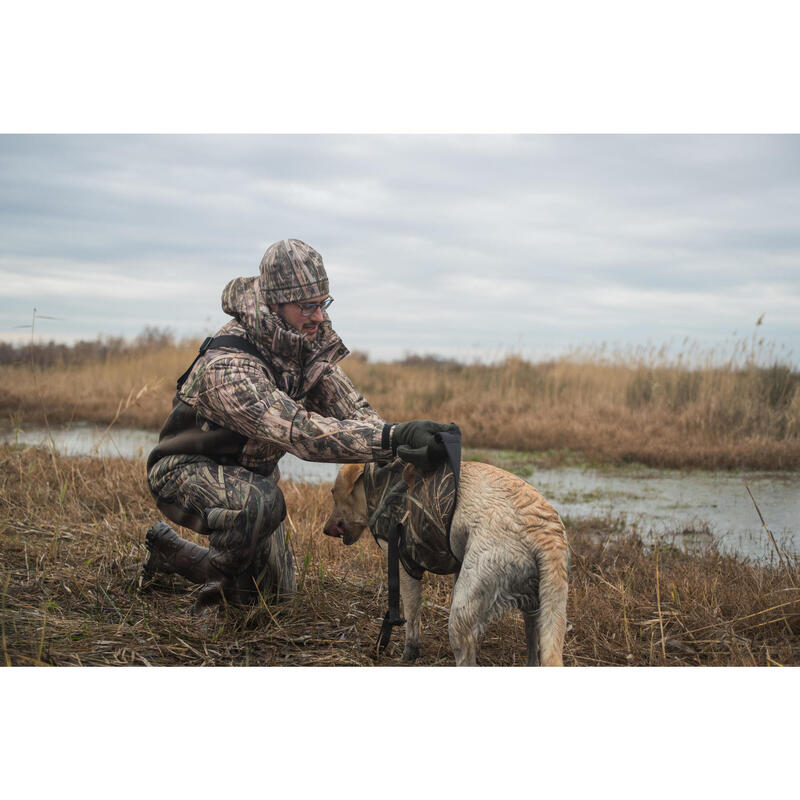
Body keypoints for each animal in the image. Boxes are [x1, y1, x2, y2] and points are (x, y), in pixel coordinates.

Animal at [320, 460, 568, 664]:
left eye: (333, 492)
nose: (325, 530)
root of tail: (546, 536)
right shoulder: (458, 565)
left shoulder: (405, 565)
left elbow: (412, 618)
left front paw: (408, 654)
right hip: (536, 609)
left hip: (463, 611)